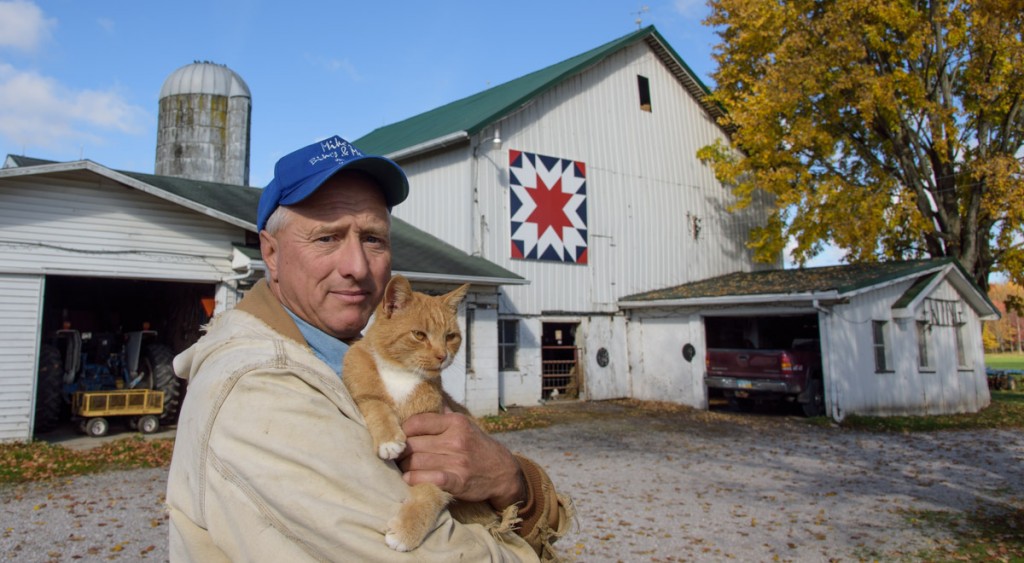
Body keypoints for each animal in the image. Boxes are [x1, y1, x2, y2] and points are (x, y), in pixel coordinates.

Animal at [342, 276, 505, 552]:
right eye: (419, 335)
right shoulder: (362, 391)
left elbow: (429, 494)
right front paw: (389, 439)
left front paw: (406, 531)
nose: (443, 356)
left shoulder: (440, 466)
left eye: (450, 336)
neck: (402, 374)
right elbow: (377, 404)